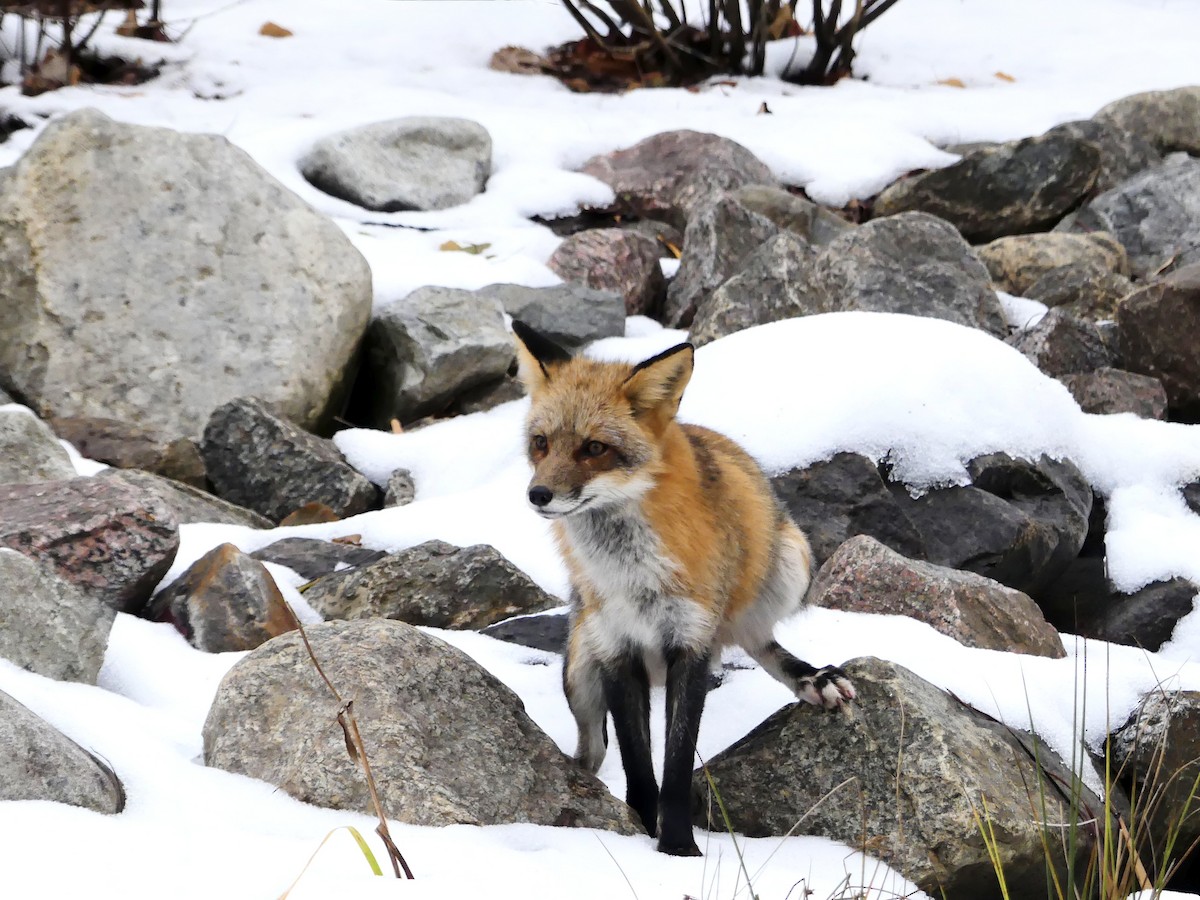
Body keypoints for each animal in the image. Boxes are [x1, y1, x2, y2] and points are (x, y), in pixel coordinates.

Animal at [511, 320, 856, 857]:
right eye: (541, 443)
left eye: (595, 448)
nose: (538, 495)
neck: (632, 574)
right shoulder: (616, 649)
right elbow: (638, 763)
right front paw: (640, 825)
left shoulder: (691, 643)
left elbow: (675, 767)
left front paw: (677, 849)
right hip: (579, 672)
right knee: (592, 750)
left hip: (788, 563)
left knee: (758, 639)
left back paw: (811, 677)